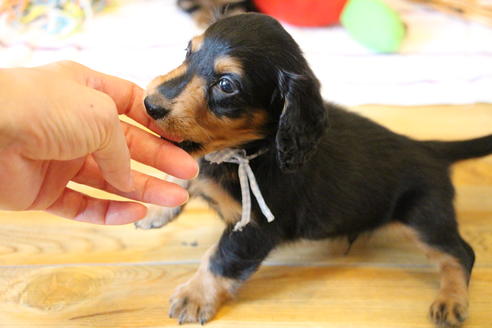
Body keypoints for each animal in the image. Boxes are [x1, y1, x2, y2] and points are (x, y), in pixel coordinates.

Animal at [136, 12, 490, 326]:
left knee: (460, 253)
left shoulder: (257, 228)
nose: (151, 104)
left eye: (226, 85)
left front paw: (194, 297)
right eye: (188, 51)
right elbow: (183, 170)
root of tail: (429, 147)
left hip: (423, 216)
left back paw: (451, 300)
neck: (245, 153)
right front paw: (158, 209)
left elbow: (220, 258)